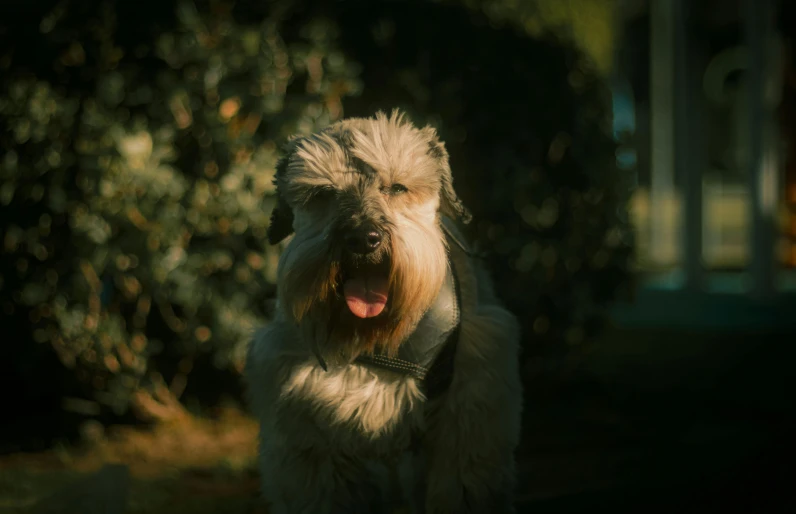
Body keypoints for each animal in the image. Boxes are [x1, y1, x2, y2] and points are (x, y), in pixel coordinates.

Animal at [244, 110, 524, 510]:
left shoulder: (470, 412)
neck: (375, 343)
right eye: (323, 193)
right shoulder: (309, 439)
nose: (362, 239)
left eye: (397, 187)